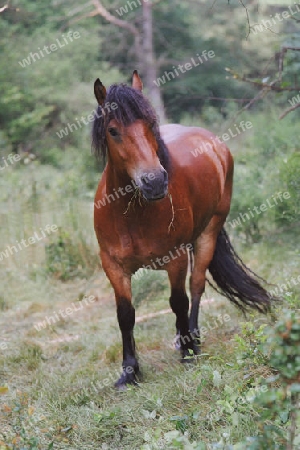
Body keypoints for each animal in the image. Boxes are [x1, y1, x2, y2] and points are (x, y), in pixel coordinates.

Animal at [92, 70, 274, 390]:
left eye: (150, 124)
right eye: (113, 131)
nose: (154, 182)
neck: (131, 213)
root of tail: (214, 143)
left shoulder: (174, 259)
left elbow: (178, 301)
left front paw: (189, 354)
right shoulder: (113, 266)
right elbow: (125, 315)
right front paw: (129, 372)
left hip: (207, 234)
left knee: (196, 285)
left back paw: (192, 339)